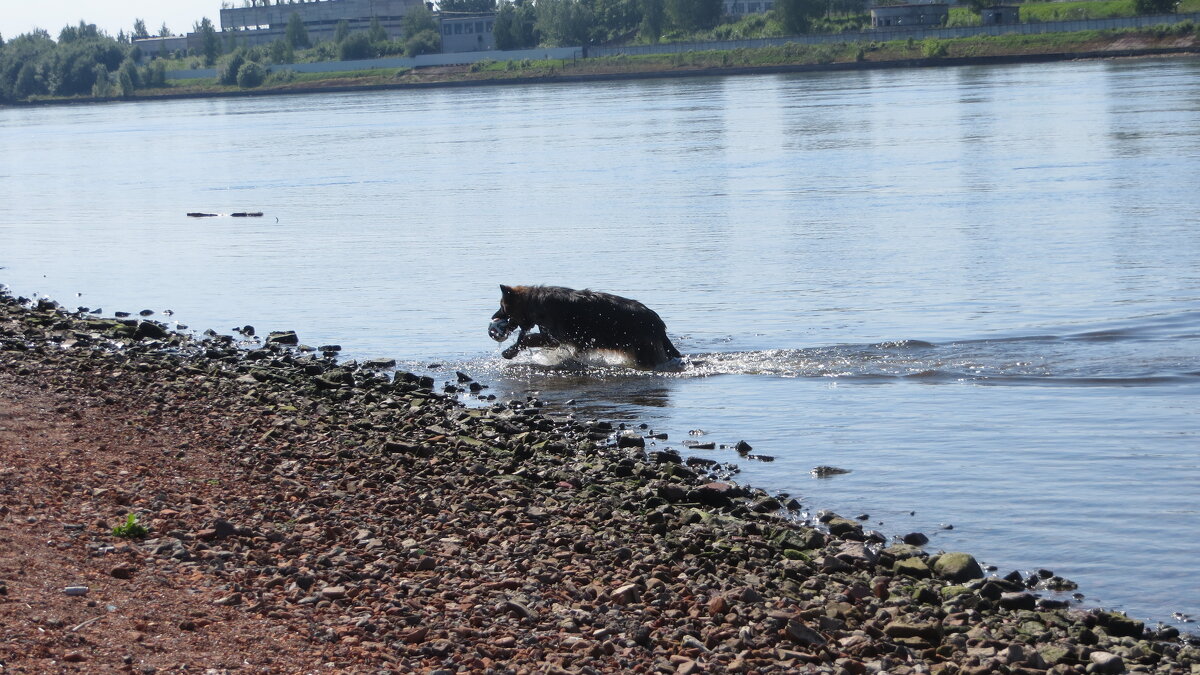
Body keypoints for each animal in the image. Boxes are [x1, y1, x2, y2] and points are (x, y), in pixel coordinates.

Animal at [482, 283, 681, 367]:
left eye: (501, 306)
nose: (492, 318)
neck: (535, 302)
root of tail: (657, 321)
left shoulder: (555, 338)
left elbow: (527, 339)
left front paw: (510, 351)